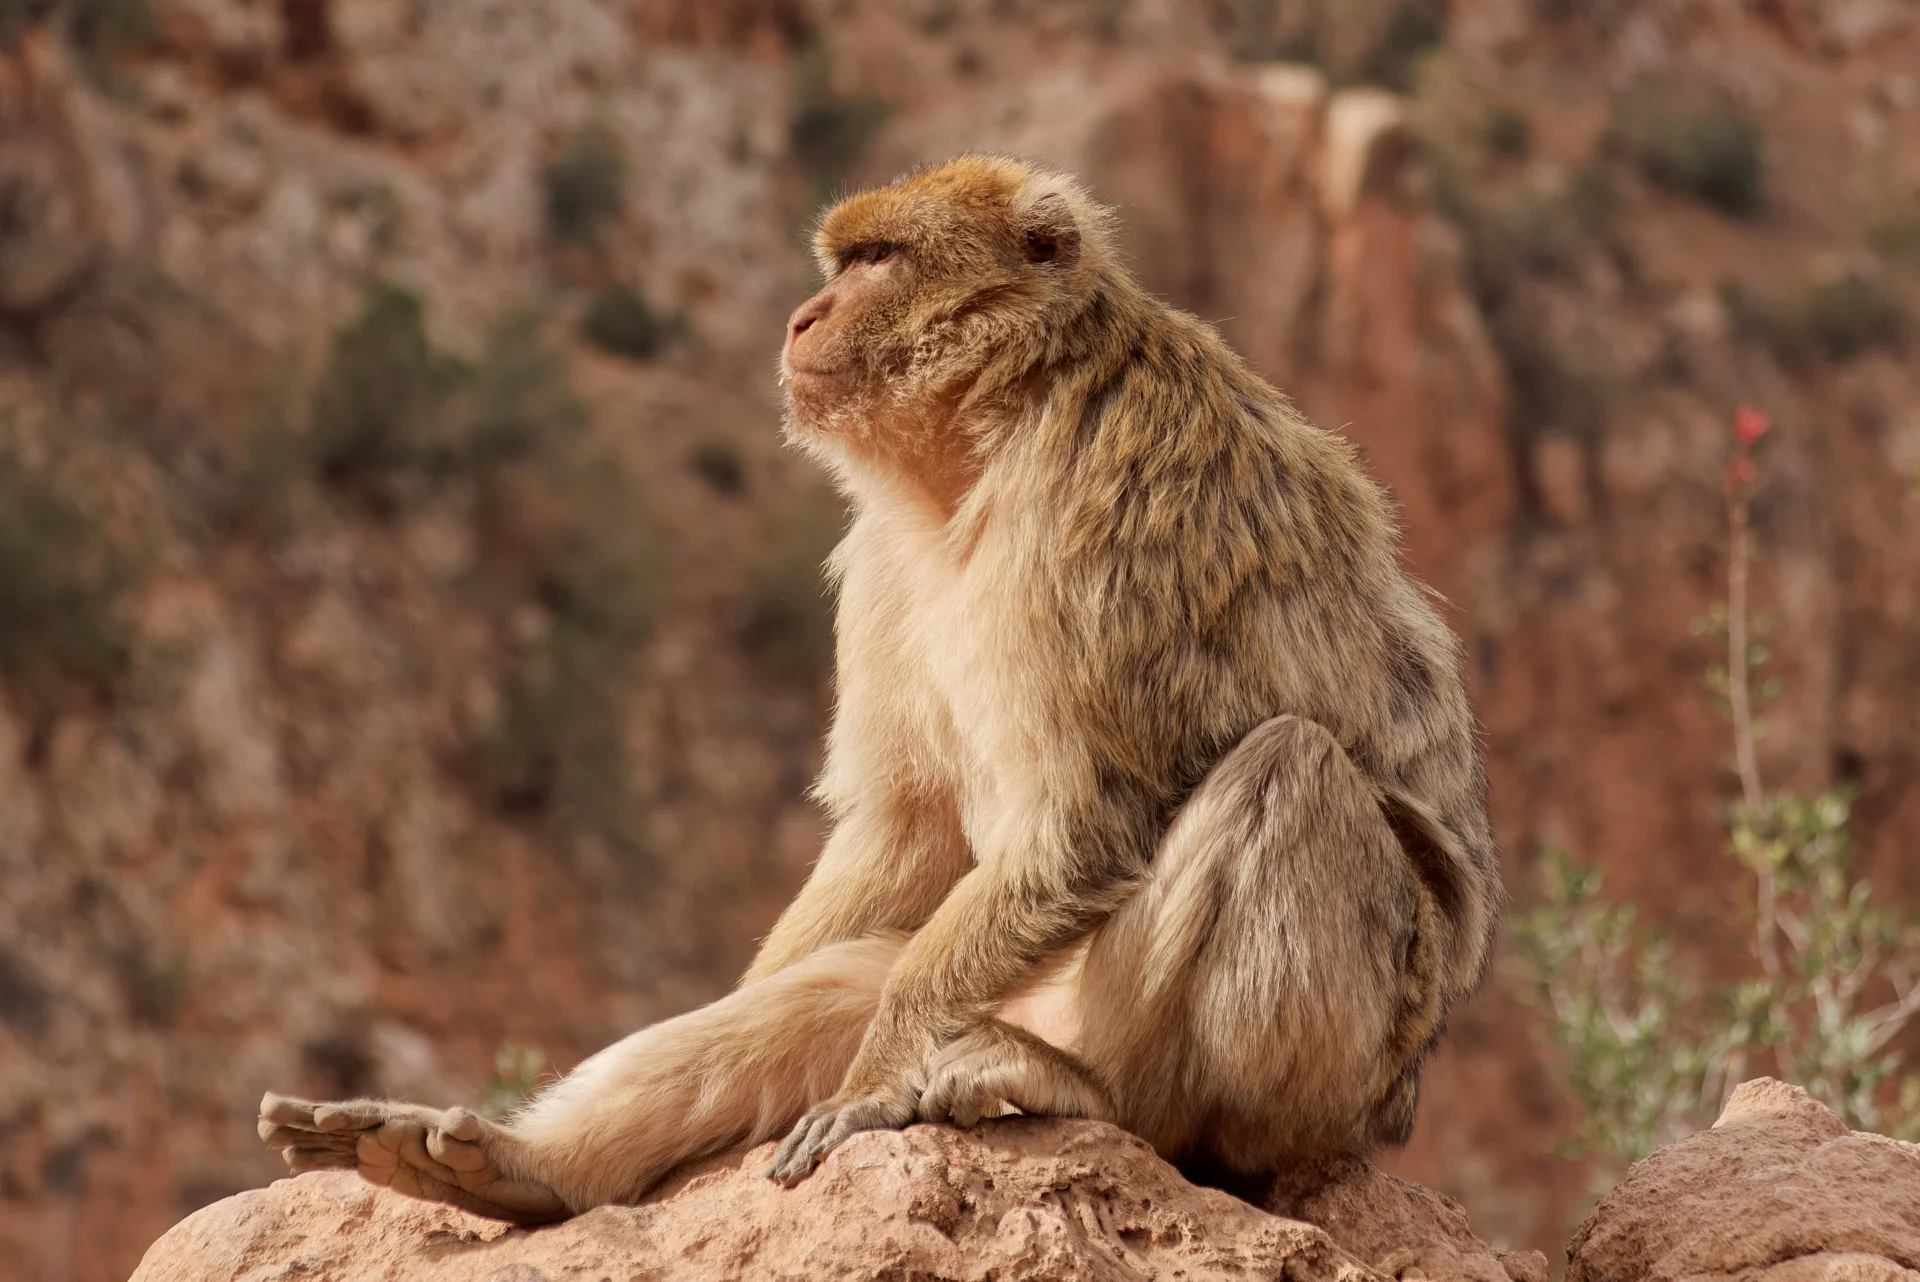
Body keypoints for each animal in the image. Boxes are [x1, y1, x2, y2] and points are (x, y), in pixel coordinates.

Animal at [258, 154, 1503, 1224]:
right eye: (841, 261)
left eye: (879, 259)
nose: (803, 318)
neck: (994, 427)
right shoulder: (885, 555)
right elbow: (907, 829)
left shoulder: (1104, 499)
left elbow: (1087, 823)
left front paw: (867, 1092)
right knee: (844, 981)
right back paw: (526, 1170)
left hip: (1332, 1082)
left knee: (1287, 770)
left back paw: (1101, 1098)